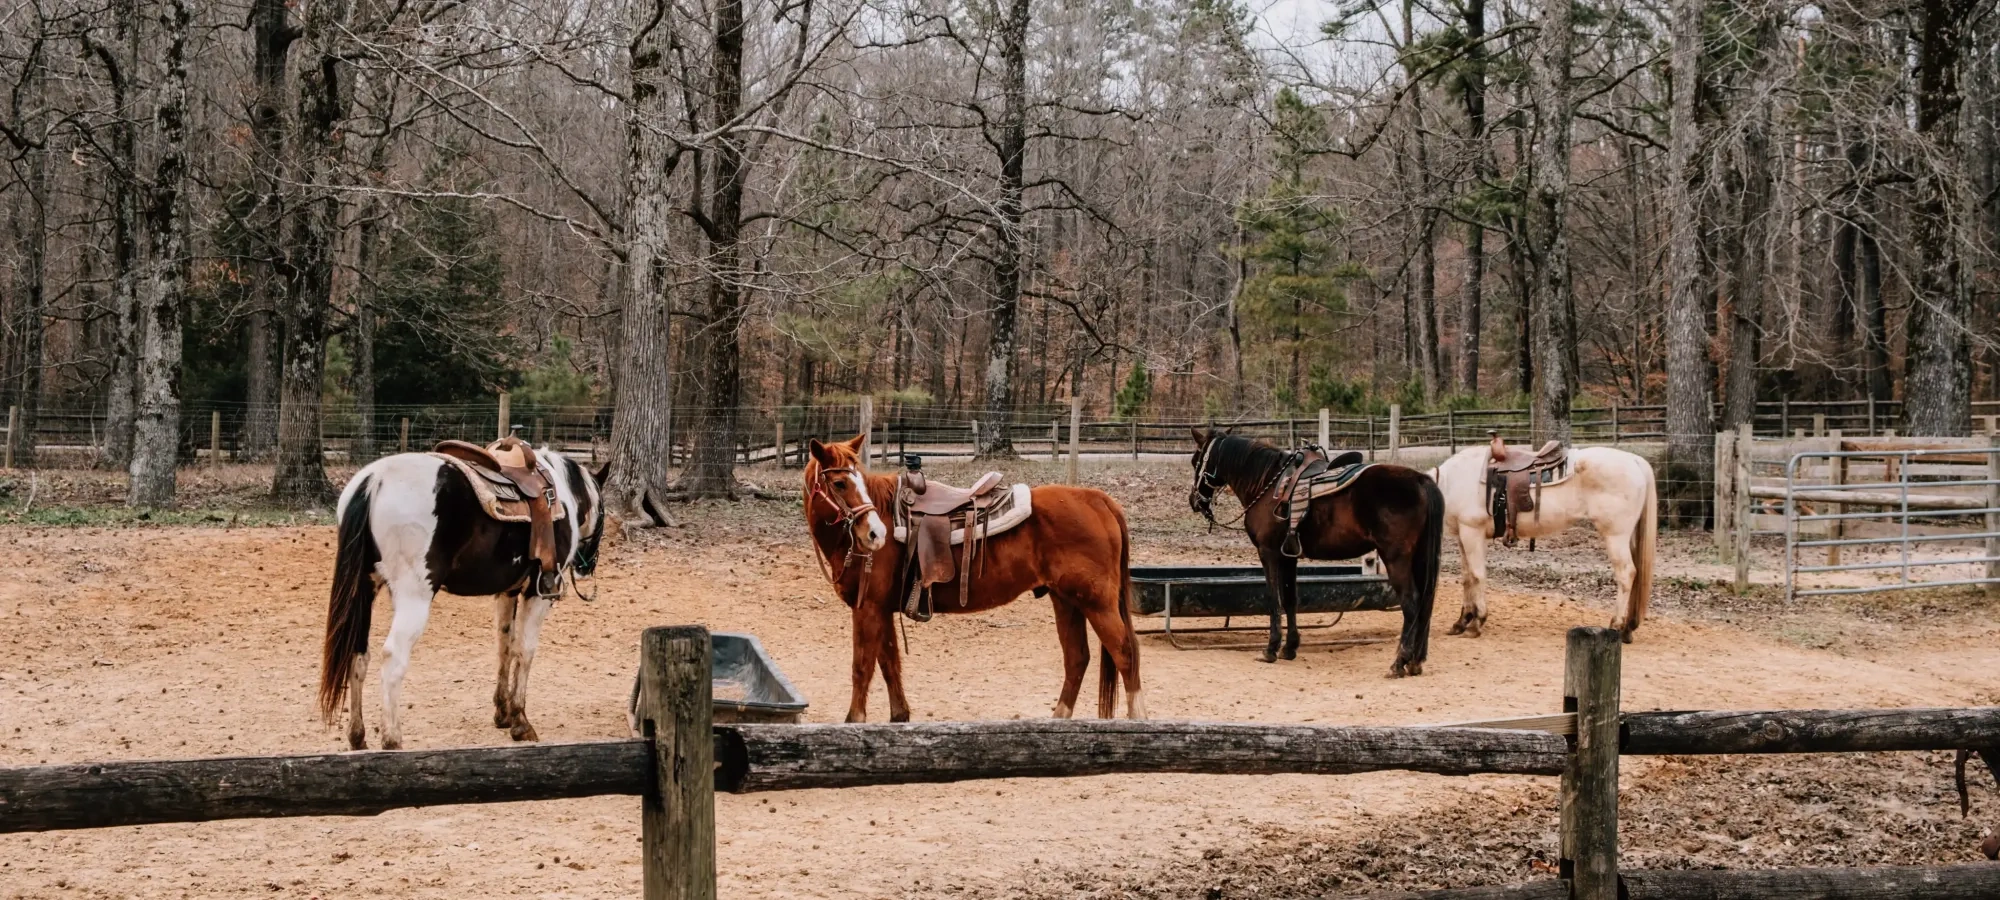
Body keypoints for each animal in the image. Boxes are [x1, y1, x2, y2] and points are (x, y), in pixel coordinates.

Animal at [317, 448, 608, 750]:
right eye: (604, 512)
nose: (587, 566)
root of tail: (373, 481)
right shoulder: (540, 592)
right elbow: (525, 650)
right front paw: (520, 722)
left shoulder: (508, 592)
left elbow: (505, 645)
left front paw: (502, 713)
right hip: (413, 598)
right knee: (392, 660)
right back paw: (392, 740)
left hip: (364, 590)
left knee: (358, 656)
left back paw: (357, 737)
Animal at [804, 434, 1143, 721]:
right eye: (839, 482)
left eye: (857, 480)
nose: (876, 534)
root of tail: (1098, 500)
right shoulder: (882, 609)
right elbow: (889, 663)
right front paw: (899, 717)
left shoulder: (869, 608)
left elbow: (862, 666)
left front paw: (854, 720)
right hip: (1067, 601)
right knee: (1077, 658)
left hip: (1097, 603)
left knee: (1125, 653)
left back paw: (1136, 718)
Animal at [1187, 429, 1445, 676]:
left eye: (1195, 461)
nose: (1194, 501)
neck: (1267, 485)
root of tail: (1421, 480)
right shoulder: (1288, 557)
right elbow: (1290, 599)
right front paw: (1290, 648)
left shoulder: (1268, 552)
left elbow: (1273, 599)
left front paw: (1271, 649)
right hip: (1420, 557)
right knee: (1425, 602)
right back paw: (1415, 662)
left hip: (1396, 558)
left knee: (1411, 603)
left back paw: (1399, 662)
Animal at [1429, 443, 1656, 642]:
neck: (1452, 481)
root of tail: (1634, 460)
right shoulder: (1463, 536)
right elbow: (1467, 578)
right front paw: (1462, 621)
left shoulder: (1472, 533)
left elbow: (1477, 576)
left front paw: (1476, 623)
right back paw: (1628, 628)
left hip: (1615, 536)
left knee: (1626, 574)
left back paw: (1616, 625)